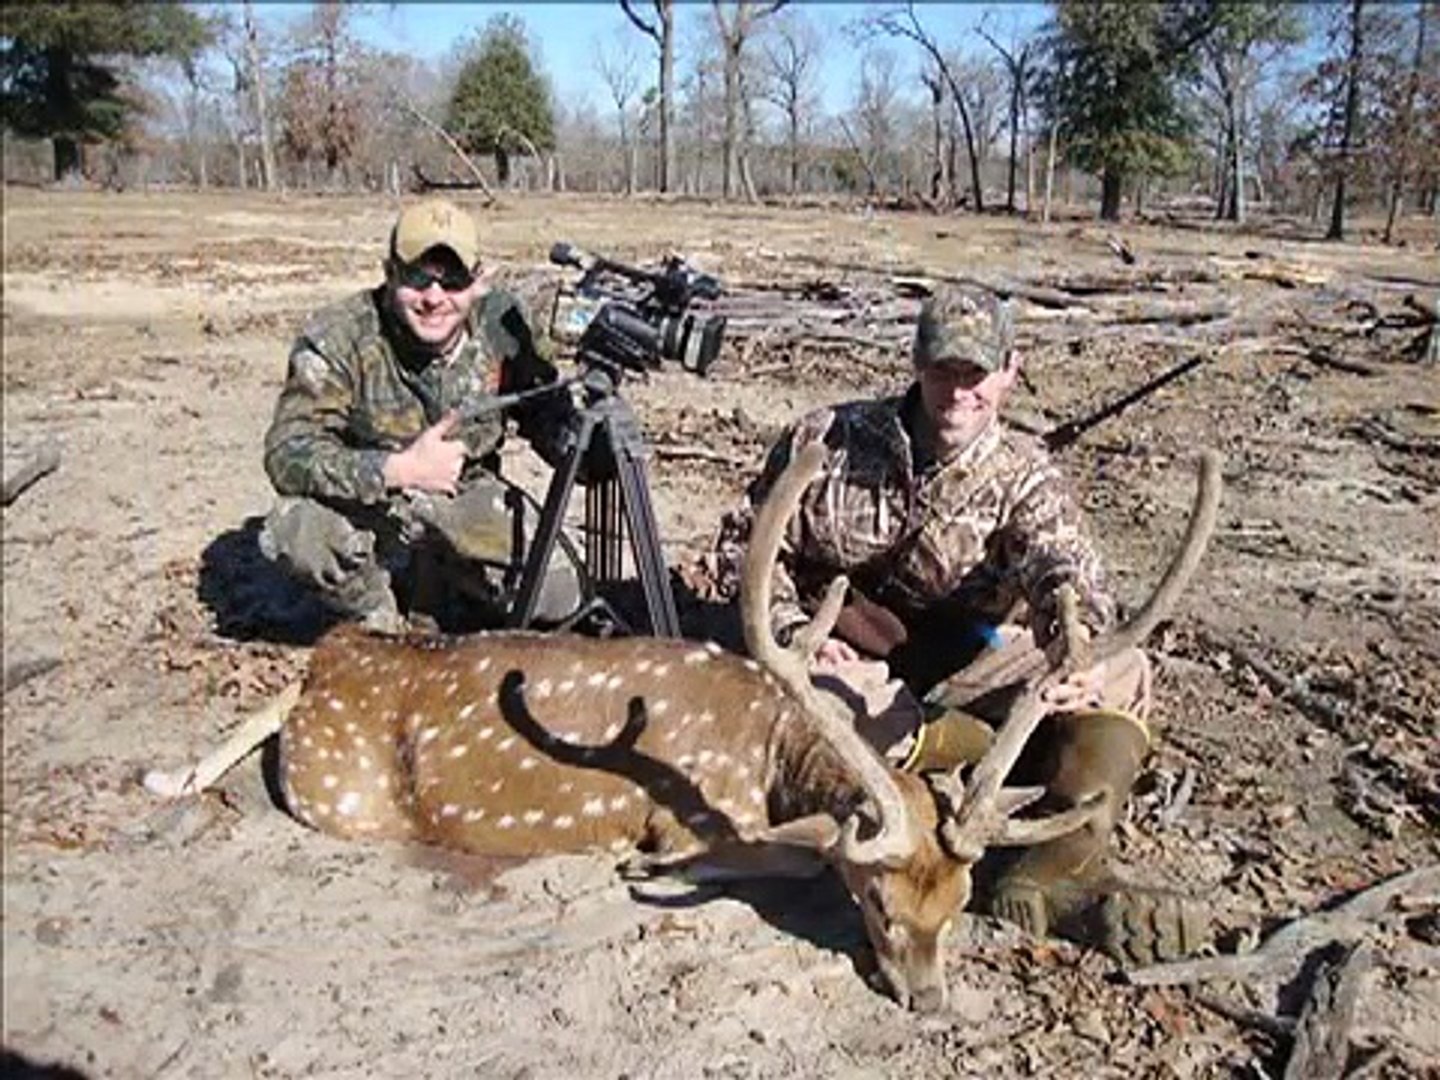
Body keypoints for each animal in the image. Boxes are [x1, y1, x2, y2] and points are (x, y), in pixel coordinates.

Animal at [146, 434, 1221, 1013]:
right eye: (879, 907)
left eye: (955, 905)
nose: (928, 1001)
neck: (773, 755)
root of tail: (330, 662)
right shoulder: (692, 820)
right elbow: (782, 857)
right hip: (339, 790)